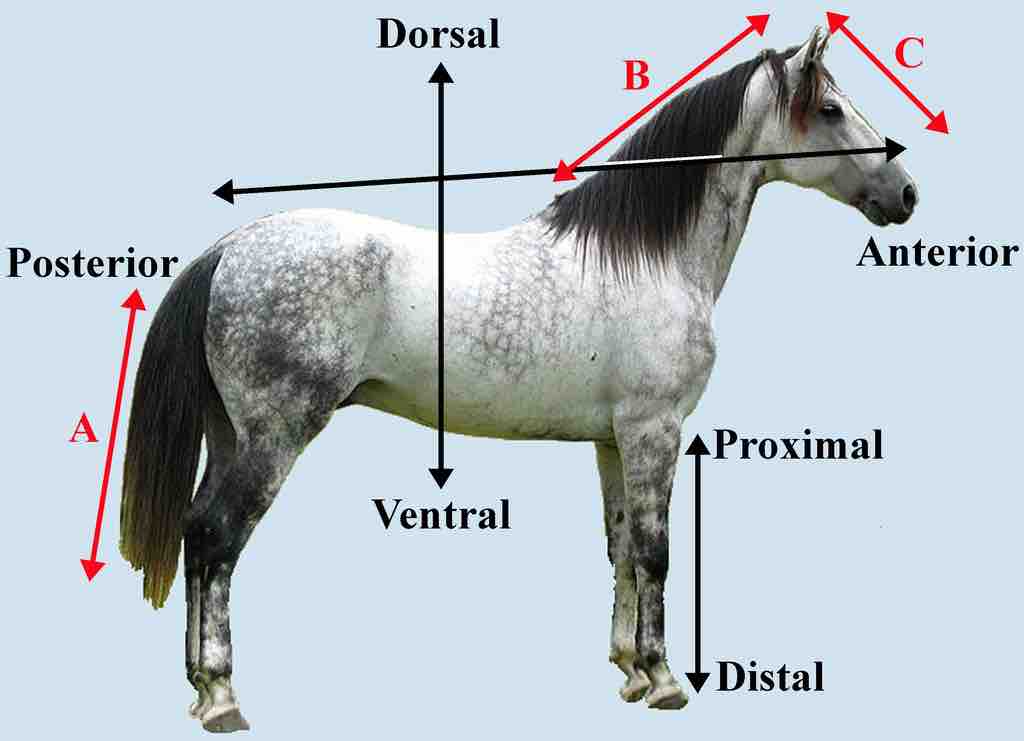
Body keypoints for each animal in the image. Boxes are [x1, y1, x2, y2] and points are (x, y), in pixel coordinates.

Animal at [119, 27, 916, 732]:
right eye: (832, 109)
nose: (906, 193)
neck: (650, 258)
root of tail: (231, 248)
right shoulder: (654, 430)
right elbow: (656, 551)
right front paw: (664, 681)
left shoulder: (613, 440)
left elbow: (621, 546)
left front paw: (629, 671)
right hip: (274, 436)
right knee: (218, 538)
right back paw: (222, 697)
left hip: (231, 434)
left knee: (195, 533)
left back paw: (198, 690)